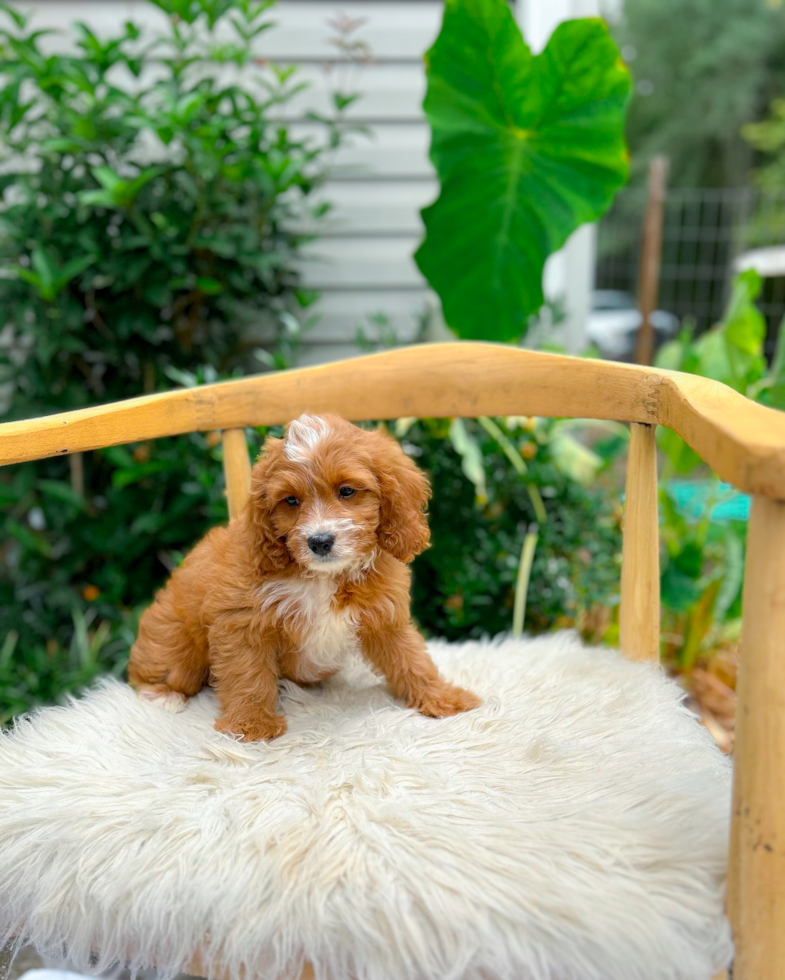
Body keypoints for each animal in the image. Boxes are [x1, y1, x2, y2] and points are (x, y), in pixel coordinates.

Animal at [126, 414, 480, 744]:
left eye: (347, 491)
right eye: (291, 501)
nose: (319, 541)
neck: (325, 576)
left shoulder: (385, 616)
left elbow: (411, 659)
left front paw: (441, 697)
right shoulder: (242, 622)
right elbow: (247, 674)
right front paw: (251, 725)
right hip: (175, 648)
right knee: (146, 673)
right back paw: (165, 696)